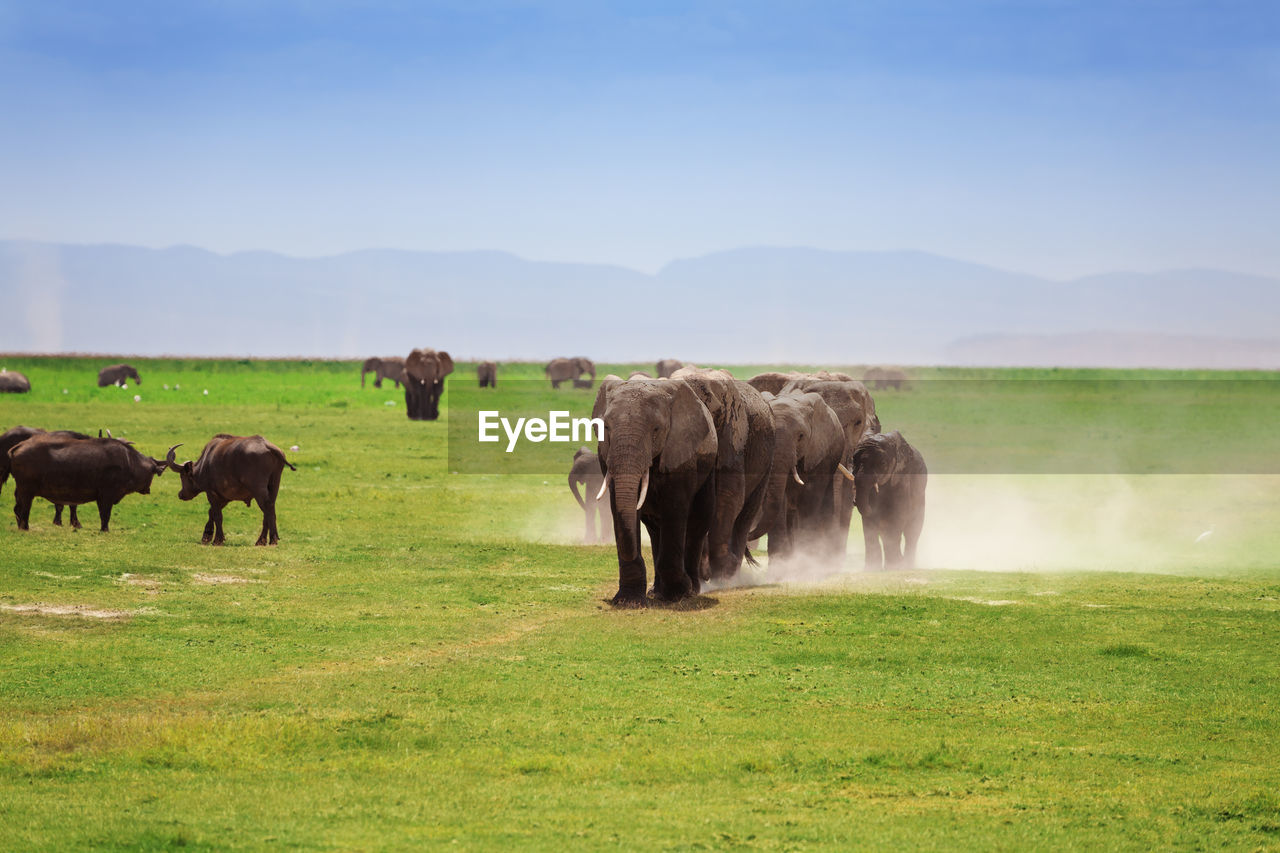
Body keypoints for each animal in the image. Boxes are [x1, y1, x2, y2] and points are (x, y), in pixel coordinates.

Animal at [163, 432, 293, 545]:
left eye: (182, 476)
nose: (180, 494)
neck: (205, 463)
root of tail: (267, 445)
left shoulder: (211, 493)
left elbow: (217, 515)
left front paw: (217, 540)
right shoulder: (225, 497)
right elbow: (211, 512)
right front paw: (207, 535)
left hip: (258, 489)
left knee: (267, 508)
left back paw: (271, 539)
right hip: (274, 486)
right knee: (269, 509)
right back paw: (262, 541)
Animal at [591, 376, 721, 601]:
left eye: (656, 429)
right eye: (606, 427)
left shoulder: (680, 452)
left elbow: (674, 509)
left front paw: (679, 593)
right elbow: (621, 507)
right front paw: (628, 601)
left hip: (708, 467)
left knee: (698, 522)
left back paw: (691, 590)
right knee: (654, 529)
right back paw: (657, 592)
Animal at [665, 366, 773, 578]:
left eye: (713, 413)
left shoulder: (733, 434)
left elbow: (728, 494)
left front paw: (722, 572)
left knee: (747, 512)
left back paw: (733, 570)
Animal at [855, 427, 926, 568]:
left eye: (882, 463)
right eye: (854, 460)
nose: (853, 501)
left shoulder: (902, 479)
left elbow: (896, 517)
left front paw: (894, 567)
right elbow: (869, 525)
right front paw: (871, 569)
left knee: (912, 532)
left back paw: (907, 566)